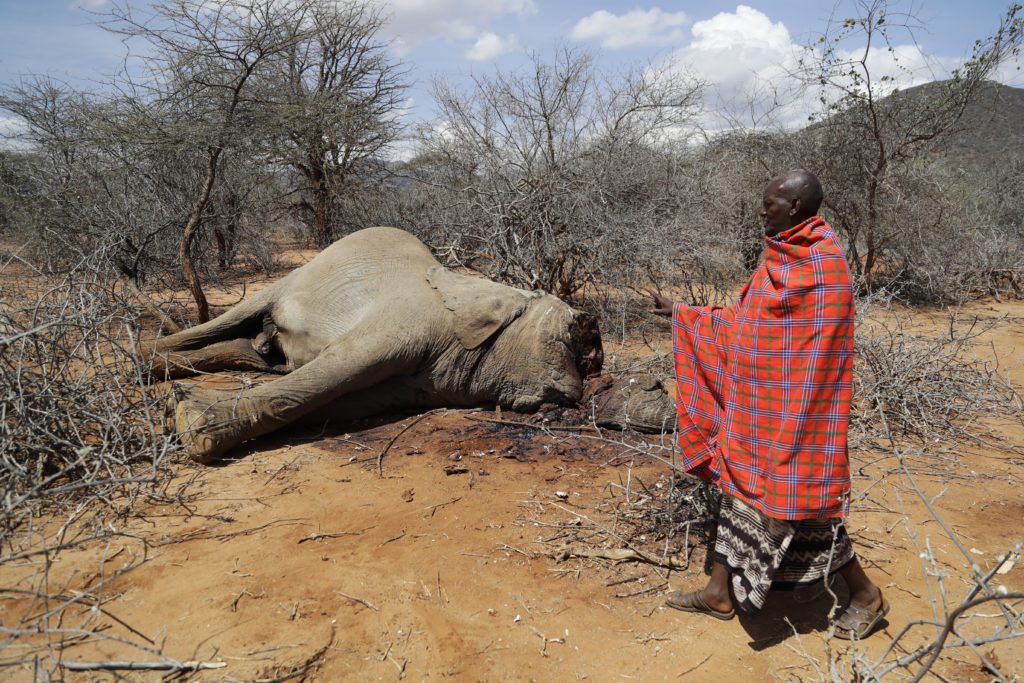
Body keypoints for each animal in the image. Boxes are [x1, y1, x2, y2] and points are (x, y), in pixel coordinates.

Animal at [144, 227, 671, 462]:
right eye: (576, 341)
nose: (599, 373)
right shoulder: (410, 322)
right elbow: (336, 369)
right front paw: (188, 423)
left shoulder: (427, 382)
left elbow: (340, 400)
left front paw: (184, 411)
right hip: (297, 274)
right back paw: (142, 366)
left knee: (258, 354)